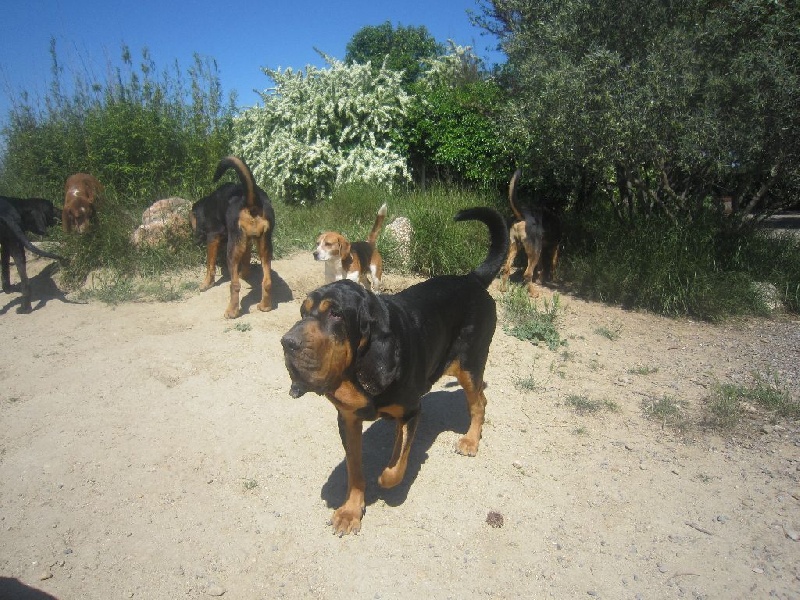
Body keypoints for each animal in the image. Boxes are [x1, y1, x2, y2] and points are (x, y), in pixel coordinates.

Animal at [190, 157, 276, 322]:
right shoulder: (246, 241)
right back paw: (265, 306)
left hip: (232, 251)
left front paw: (206, 284)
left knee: (234, 285)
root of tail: (250, 201)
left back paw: (232, 311)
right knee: (267, 281)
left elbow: (210, 265)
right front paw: (244, 273)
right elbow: (246, 259)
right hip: (265, 246)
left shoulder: (212, 237)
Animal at [282, 205, 506, 536]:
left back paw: (470, 440)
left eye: (336, 314)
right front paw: (351, 511)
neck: (356, 372)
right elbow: (355, 468)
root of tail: (472, 279)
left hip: (469, 364)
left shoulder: (412, 409)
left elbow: (395, 469)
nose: (287, 343)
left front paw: (385, 476)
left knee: (479, 401)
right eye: (302, 311)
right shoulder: (347, 420)